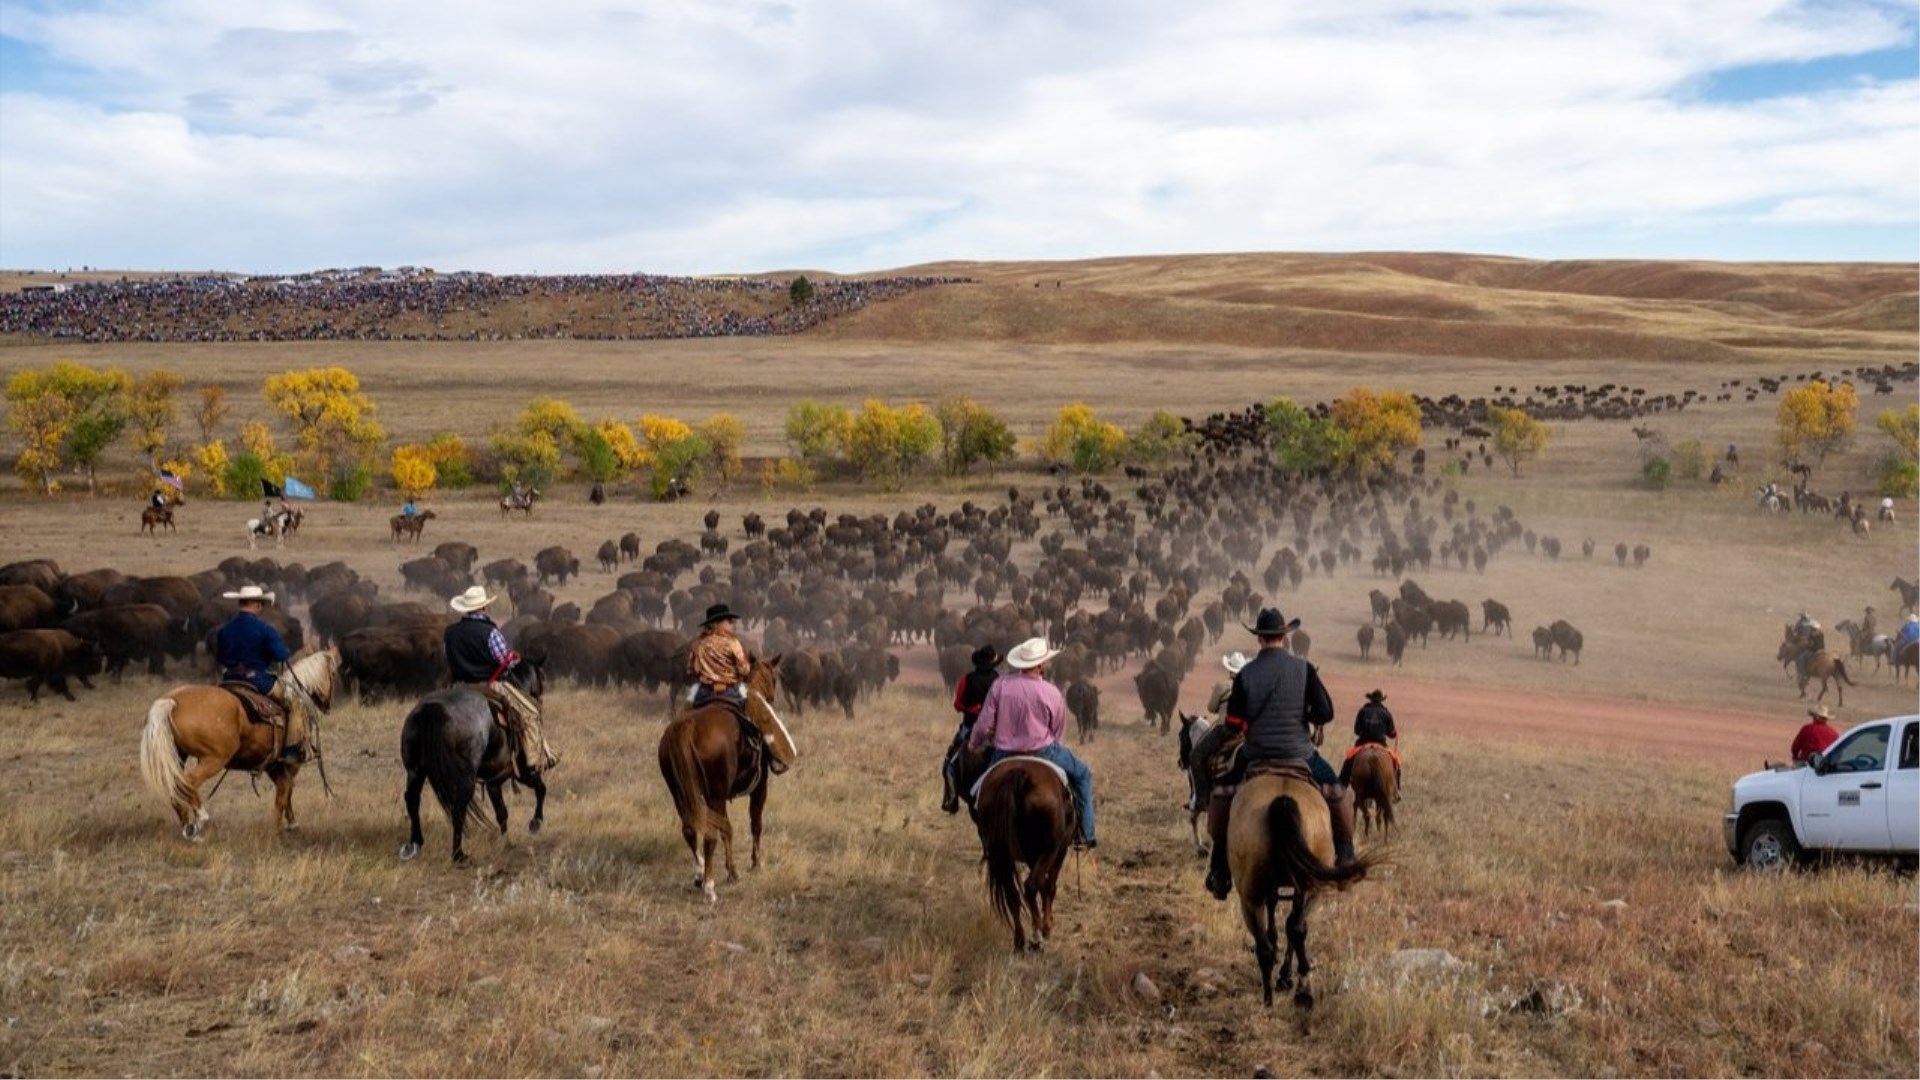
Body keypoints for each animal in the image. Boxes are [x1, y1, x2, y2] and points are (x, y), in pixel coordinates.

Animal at [139, 641, 341, 837]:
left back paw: (190, 830)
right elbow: (286, 793)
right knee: (186, 783)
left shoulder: (274, 765)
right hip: (213, 759)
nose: (328, 704)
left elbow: (283, 791)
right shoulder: (291, 763)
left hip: (178, 756)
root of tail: (173, 701)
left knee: (175, 788)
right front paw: (286, 827)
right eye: (332, 673)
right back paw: (201, 817)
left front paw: (285, 825)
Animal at [397, 668, 549, 860]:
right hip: (466, 778)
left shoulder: (493, 782)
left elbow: (502, 812)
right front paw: (535, 823)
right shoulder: (521, 772)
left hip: (414, 771)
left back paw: (415, 844)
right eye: (541, 676)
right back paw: (458, 855)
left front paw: (506, 842)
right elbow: (541, 789)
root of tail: (430, 708)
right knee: (458, 807)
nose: (540, 700)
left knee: (412, 800)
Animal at [652, 657, 787, 899]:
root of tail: (688, 726)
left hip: (679, 793)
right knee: (712, 834)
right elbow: (755, 823)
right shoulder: (759, 787)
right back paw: (712, 884)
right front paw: (755, 863)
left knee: (690, 830)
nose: (771, 700)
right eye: (774, 678)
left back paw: (700, 875)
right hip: (715, 795)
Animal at [975, 753, 1082, 945]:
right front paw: (1048, 925)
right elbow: (1049, 886)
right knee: (1031, 885)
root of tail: (1019, 775)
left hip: (1003, 856)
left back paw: (1020, 939)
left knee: (1013, 894)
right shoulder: (1058, 851)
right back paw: (1038, 935)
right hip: (1049, 851)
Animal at [1228, 760, 1367, 1006]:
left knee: (1271, 940)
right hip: (1301, 889)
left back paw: (1271, 997)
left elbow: (1280, 921)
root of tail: (1283, 799)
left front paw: (1284, 973)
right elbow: (1289, 923)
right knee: (1294, 928)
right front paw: (1287, 975)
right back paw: (1300, 990)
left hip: (1253, 896)